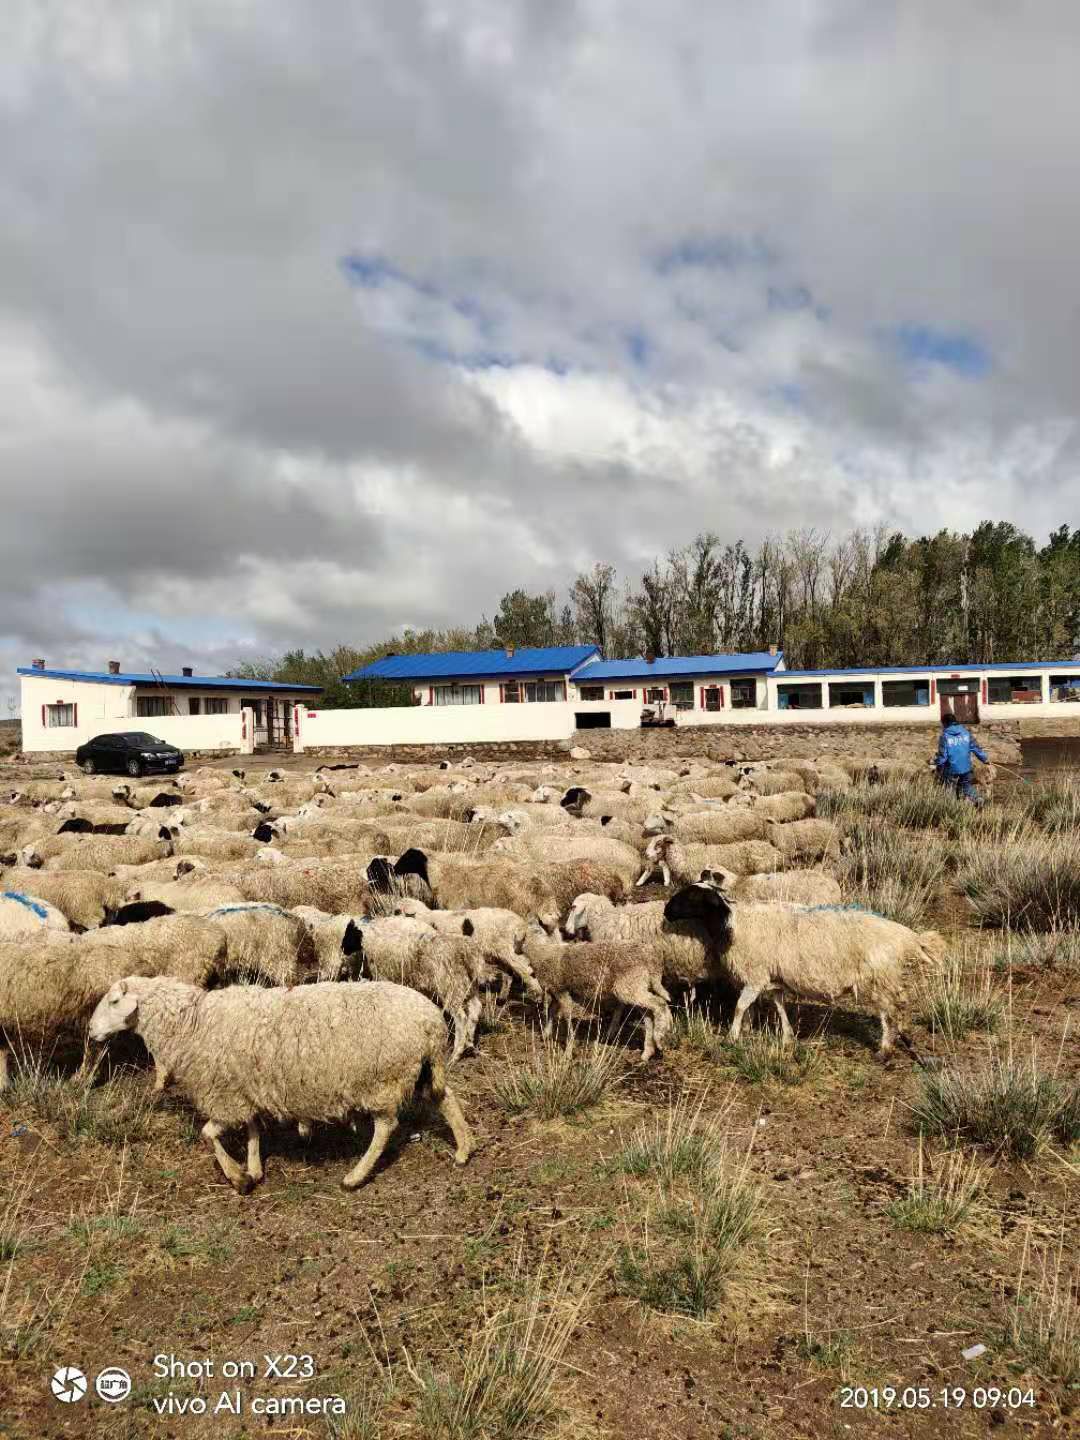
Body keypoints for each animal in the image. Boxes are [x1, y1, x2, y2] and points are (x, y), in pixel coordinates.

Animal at [94, 979, 478, 1192]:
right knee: (446, 1099)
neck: (191, 1023)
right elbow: (252, 1130)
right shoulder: (242, 1091)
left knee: (386, 1127)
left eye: (113, 1001)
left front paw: (237, 1177)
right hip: (423, 1069)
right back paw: (463, 1149)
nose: (91, 1031)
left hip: (382, 1080)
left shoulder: (225, 1096)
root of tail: (431, 1020)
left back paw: (355, 1176)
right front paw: (253, 1169)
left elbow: (207, 1134)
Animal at [665, 881, 950, 1054]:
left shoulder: (756, 975)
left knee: (888, 1012)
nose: (666, 912)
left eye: (692, 896)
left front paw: (732, 1036)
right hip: (883, 979)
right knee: (896, 1006)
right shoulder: (772, 978)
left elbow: (740, 1006)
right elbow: (777, 1006)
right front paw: (784, 1036)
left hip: (877, 978)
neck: (732, 924)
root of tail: (906, 936)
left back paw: (884, 1049)